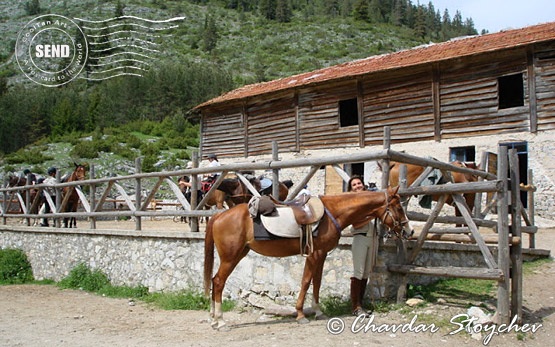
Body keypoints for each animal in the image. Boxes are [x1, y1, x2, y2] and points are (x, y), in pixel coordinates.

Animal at [204, 186, 412, 330]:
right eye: (398, 207)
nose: (409, 231)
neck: (332, 212)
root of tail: (218, 216)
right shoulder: (315, 254)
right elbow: (306, 281)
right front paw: (300, 315)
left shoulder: (321, 254)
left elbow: (317, 282)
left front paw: (318, 312)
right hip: (230, 258)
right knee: (219, 281)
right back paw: (220, 321)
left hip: (238, 254)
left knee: (214, 280)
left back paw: (213, 318)